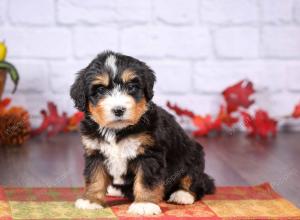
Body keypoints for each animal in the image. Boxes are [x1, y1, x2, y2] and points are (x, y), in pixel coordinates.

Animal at [70, 51, 216, 215]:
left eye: (131, 87)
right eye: (100, 90)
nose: (118, 110)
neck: (117, 130)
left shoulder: (149, 154)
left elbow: (146, 181)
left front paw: (144, 204)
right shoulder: (95, 152)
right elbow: (95, 178)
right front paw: (91, 200)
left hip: (192, 156)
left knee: (195, 180)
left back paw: (182, 194)